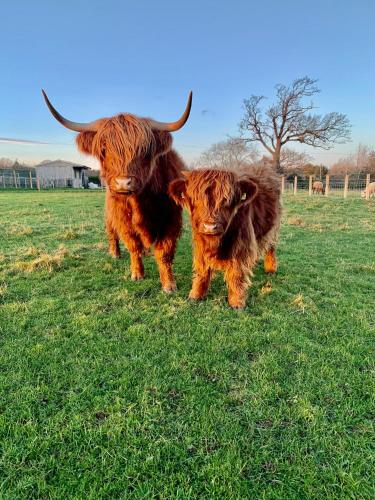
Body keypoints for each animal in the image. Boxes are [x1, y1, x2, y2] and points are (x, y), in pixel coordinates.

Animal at [42, 90, 192, 292]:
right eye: (104, 149)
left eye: (145, 151)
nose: (123, 183)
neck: (141, 204)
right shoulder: (123, 220)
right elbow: (133, 246)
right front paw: (137, 274)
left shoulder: (170, 219)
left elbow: (164, 252)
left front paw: (169, 284)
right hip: (109, 214)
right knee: (111, 233)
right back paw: (115, 253)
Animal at [169, 166, 280, 308]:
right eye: (196, 199)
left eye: (226, 200)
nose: (210, 226)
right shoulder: (200, 242)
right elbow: (202, 269)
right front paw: (196, 295)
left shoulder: (241, 245)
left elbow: (236, 273)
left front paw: (237, 302)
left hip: (274, 228)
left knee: (271, 247)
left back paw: (271, 269)